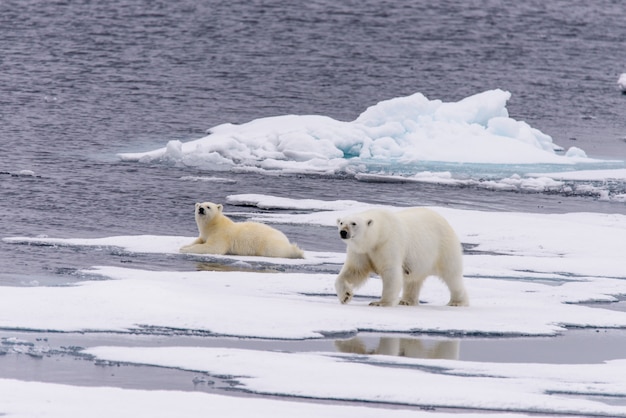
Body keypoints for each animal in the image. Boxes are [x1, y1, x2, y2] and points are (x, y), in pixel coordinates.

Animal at [334, 208, 466, 308]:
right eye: (341, 223)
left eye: (354, 223)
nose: (343, 232)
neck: (379, 233)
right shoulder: (361, 251)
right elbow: (355, 270)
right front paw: (345, 296)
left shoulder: (388, 243)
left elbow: (390, 272)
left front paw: (380, 303)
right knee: (413, 280)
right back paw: (406, 301)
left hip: (443, 247)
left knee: (452, 275)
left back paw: (457, 302)